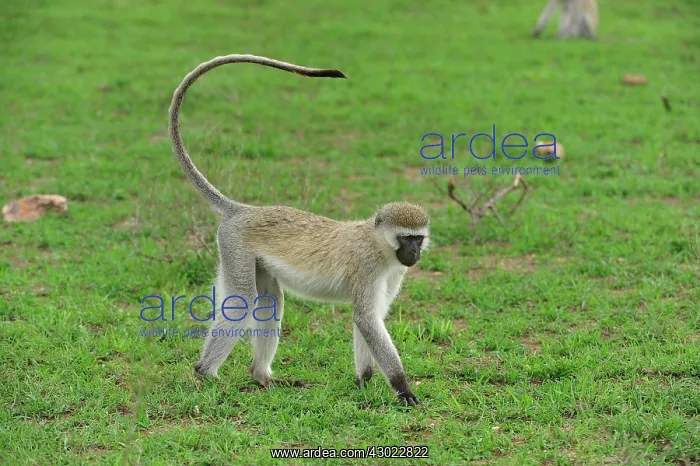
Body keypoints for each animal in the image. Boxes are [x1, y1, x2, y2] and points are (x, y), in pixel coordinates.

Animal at [168, 54, 430, 406]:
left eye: (418, 238)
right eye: (406, 238)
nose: (413, 253)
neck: (379, 245)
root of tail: (244, 210)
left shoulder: (392, 273)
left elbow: (370, 319)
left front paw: (363, 381)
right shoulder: (367, 267)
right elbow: (367, 320)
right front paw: (403, 389)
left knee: (271, 300)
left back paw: (262, 377)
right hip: (234, 247)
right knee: (243, 300)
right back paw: (206, 374)